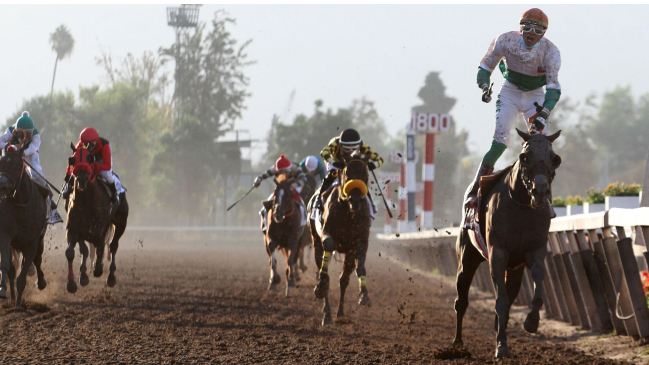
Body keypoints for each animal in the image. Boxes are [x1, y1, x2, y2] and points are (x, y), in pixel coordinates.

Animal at [65, 144, 128, 292]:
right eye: (72, 159)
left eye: (89, 158)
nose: (82, 179)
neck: (85, 203)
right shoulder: (73, 230)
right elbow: (73, 252)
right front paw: (73, 282)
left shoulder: (99, 230)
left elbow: (99, 249)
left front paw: (97, 268)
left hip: (121, 223)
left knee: (113, 246)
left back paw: (110, 277)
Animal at [312, 151, 372, 324]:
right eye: (347, 173)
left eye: (365, 175)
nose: (356, 200)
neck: (348, 212)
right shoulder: (326, 234)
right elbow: (328, 246)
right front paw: (320, 287)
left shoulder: (360, 241)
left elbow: (360, 267)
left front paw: (364, 296)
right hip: (315, 242)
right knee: (324, 275)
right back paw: (327, 313)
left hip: (349, 254)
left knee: (343, 280)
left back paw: (340, 313)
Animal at [454, 129, 560, 356]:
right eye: (525, 157)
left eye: (554, 159)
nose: (540, 192)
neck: (521, 207)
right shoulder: (498, 254)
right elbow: (500, 301)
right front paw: (501, 346)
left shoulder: (534, 252)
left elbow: (536, 294)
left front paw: (531, 323)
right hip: (467, 259)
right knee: (461, 301)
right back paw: (457, 342)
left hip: (514, 270)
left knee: (509, 296)